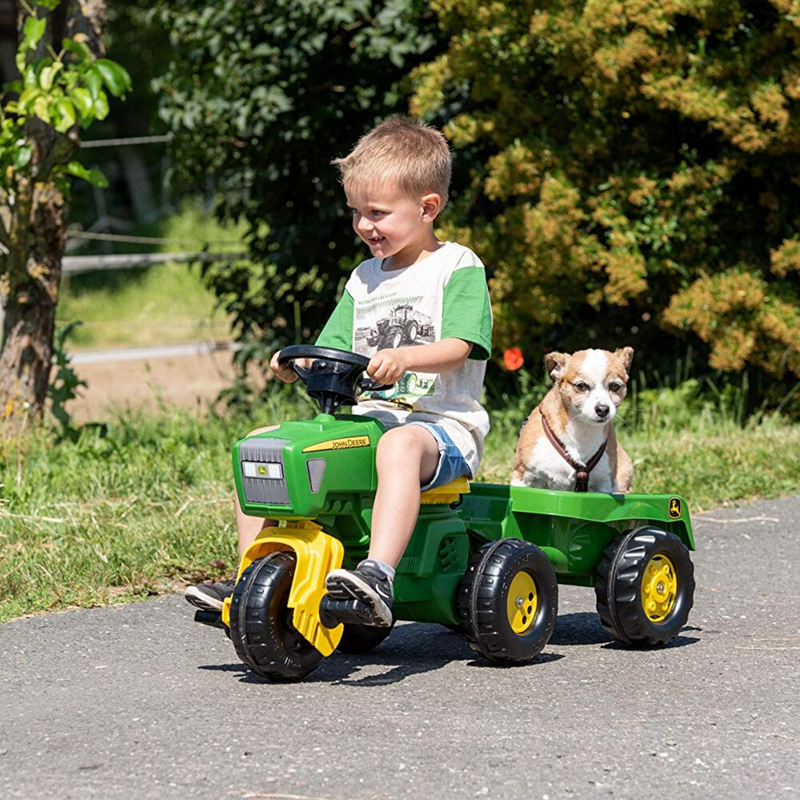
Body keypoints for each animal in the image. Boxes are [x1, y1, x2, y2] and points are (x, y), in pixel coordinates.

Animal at [512, 348, 636, 494]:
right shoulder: (522, 478)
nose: (602, 409)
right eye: (581, 386)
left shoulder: (603, 485)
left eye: (615, 386)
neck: (581, 430)